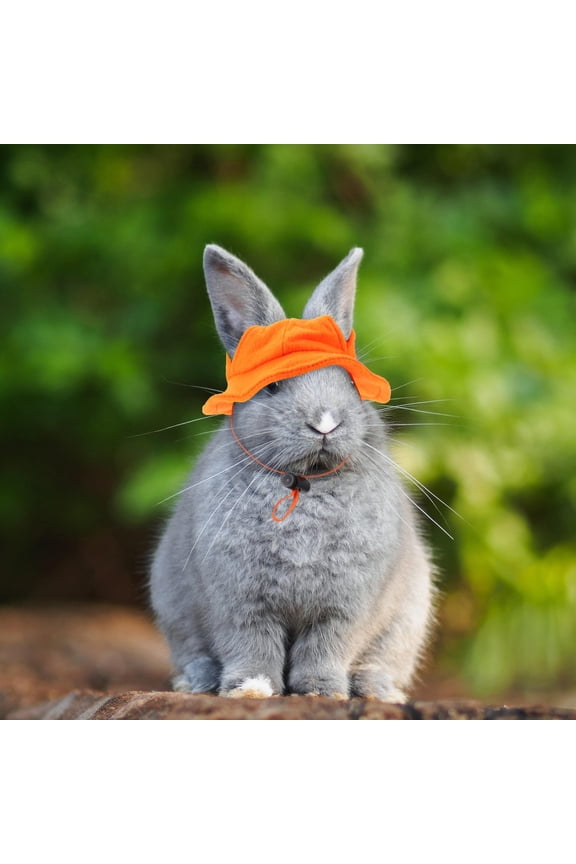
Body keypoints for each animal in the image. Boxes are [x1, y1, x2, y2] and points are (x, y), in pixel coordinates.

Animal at [149, 244, 435, 702]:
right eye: (273, 387)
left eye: (350, 384)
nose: (324, 423)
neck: (305, 485)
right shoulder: (241, 604)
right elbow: (251, 645)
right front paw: (251, 689)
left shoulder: (344, 609)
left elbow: (326, 647)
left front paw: (322, 691)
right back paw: (196, 682)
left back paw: (377, 690)